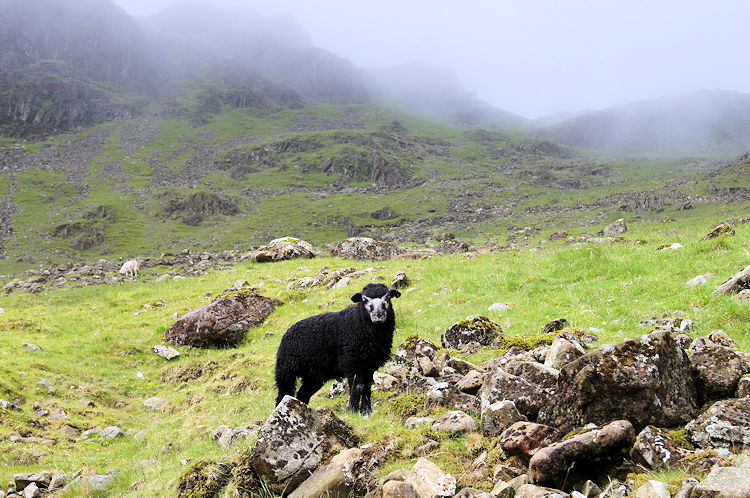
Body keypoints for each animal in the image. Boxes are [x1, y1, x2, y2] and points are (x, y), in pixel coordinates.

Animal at [276, 282, 402, 414]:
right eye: (364, 300)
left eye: (388, 298)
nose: (378, 316)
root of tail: (288, 332)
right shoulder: (351, 362)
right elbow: (357, 387)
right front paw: (353, 410)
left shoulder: (370, 364)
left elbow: (367, 387)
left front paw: (366, 410)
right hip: (286, 370)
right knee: (283, 393)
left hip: (314, 375)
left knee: (303, 394)